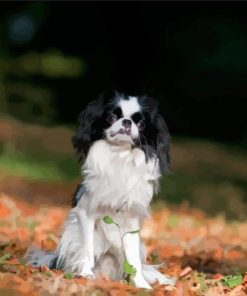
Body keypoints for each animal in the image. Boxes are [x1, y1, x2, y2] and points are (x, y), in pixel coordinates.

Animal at [26, 91, 175, 288]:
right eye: (111, 117)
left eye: (141, 124)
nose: (127, 122)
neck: (119, 156)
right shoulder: (86, 213)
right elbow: (87, 249)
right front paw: (85, 275)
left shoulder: (131, 222)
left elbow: (133, 259)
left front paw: (141, 285)